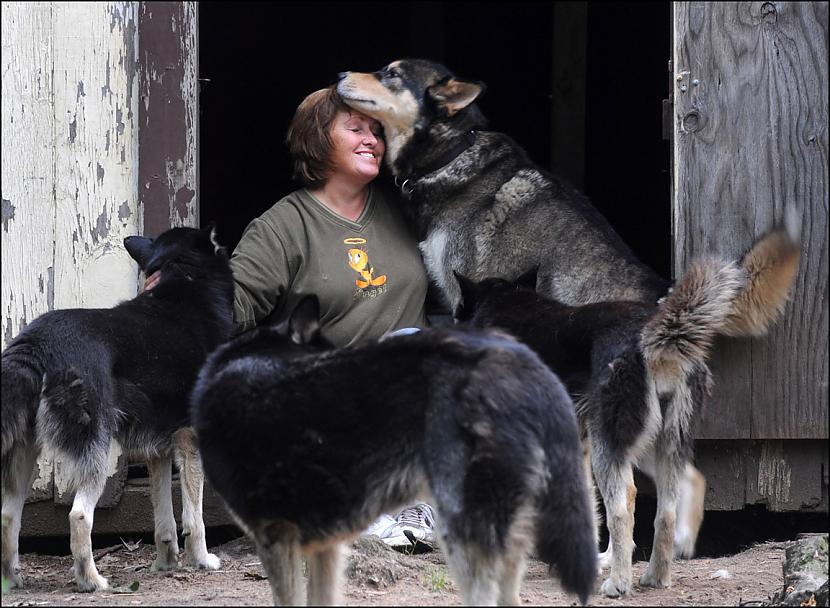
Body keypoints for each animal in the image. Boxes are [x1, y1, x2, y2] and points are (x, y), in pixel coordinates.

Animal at [0, 223, 234, 588]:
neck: (182, 275)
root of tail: (35, 344)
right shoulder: (189, 438)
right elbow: (193, 517)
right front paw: (202, 560)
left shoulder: (158, 449)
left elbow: (164, 518)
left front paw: (165, 564)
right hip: (96, 448)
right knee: (79, 515)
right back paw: (91, 580)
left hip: (26, 450)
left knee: (8, 516)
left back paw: (13, 581)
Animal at [452, 221, 804, 596]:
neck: (504, 302)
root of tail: (655, 336)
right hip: (651, 440)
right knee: (668, 504)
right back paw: (657, 573)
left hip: (612, 442)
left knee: (623, 510)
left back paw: (619, 581)